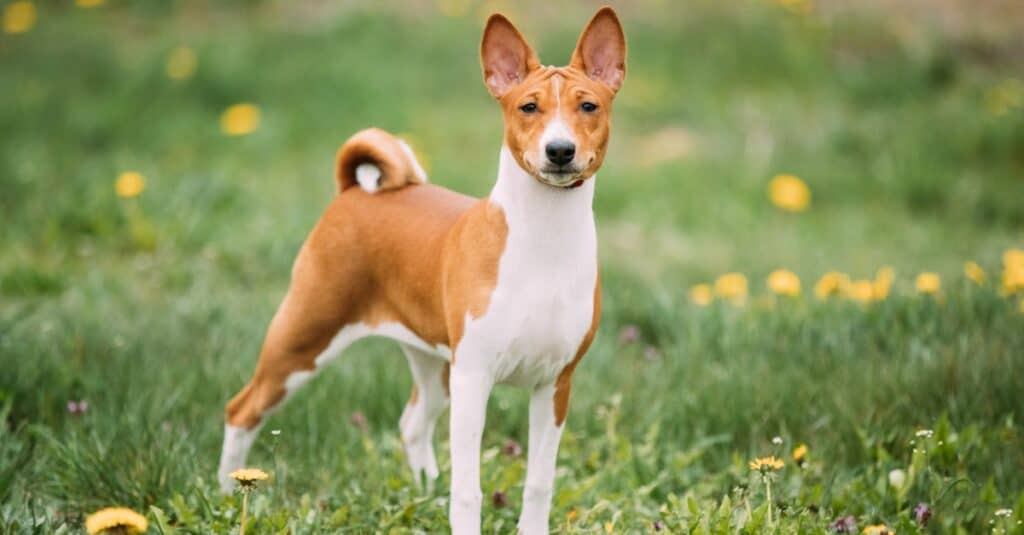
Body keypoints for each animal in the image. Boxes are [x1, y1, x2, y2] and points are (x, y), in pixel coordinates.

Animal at [218, 6, 622, 528]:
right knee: (241, 410)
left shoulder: (554, 385)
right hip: (303, 339)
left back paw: (425, 489)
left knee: (411, 423)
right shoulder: (475, 378)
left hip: (432, 363)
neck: (543, 244)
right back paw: (228, 493)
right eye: (528, 107)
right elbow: (468, 490)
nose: (559, 150)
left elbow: (539, 484)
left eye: (588, 106)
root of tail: (355, 192)